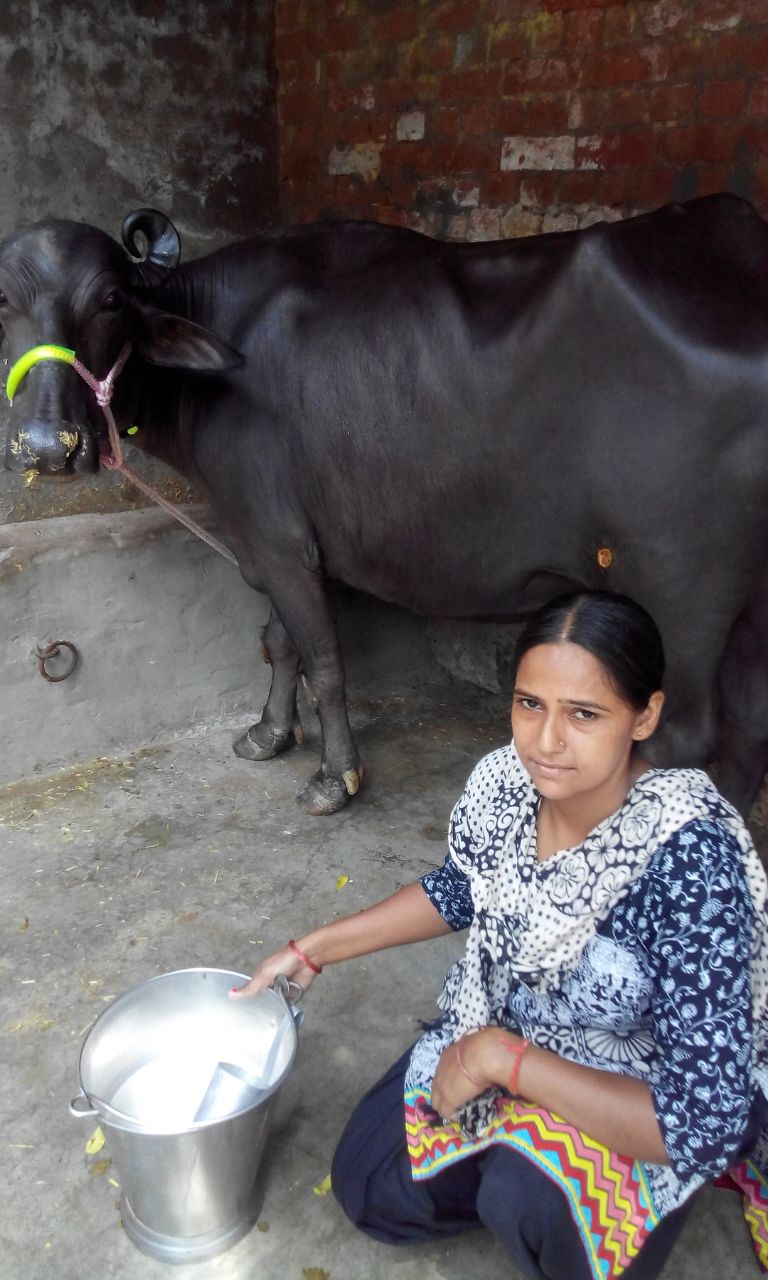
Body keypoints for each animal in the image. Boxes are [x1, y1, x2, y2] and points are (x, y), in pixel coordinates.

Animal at [1, 198, 768, 814]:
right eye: (4, 301)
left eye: (108, 300)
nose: (45, 446)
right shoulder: (270, 543)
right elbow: (279, 641)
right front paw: (268, 733)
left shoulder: (278, 541)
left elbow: (322, 659)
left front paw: (333, 777)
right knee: (751, 724)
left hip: (680, 590)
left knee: (687, 734)